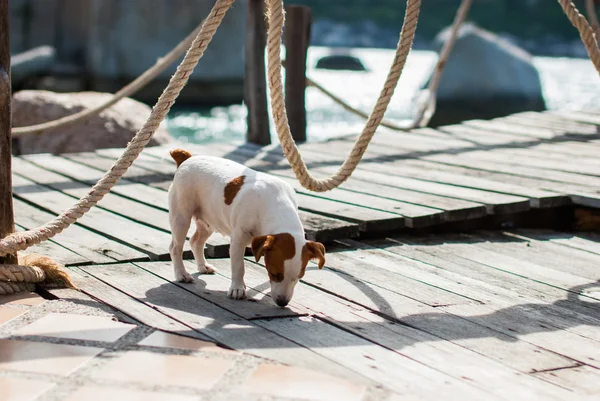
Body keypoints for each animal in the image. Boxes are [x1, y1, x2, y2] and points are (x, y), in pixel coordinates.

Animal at [166, 148, 326, 308]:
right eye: (274, 274)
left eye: (299, 277)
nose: (282, 302)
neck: (277, 203)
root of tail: (187, 158)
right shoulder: (238, 239)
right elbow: (238, 267)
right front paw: (237, 288)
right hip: (181, 218)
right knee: (175, 247)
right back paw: (181, 274)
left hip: (209, 221)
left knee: (196, 241)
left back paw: (203, 266)